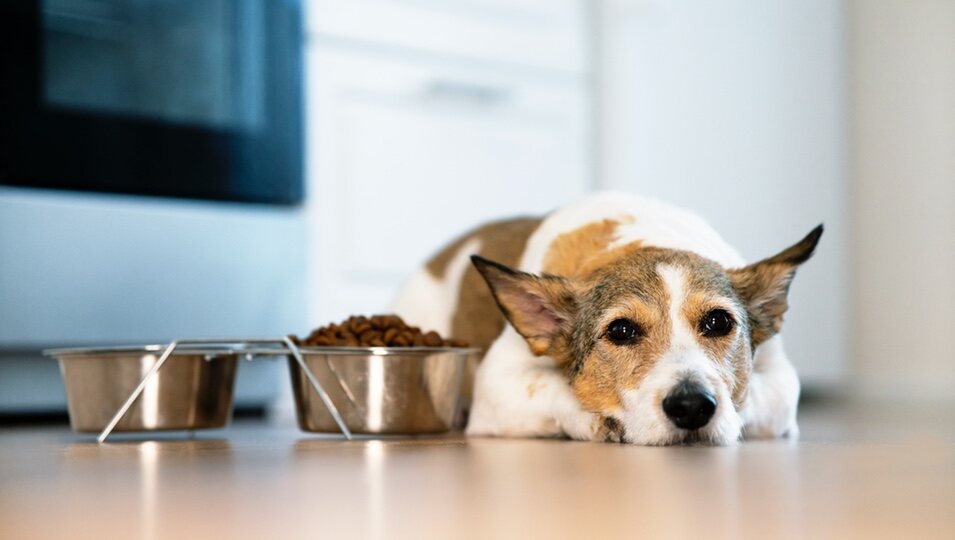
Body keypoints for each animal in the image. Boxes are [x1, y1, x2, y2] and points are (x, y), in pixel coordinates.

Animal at [394, 192, 820, 446]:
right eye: (621, 330)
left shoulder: (782, 380)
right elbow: (557, 390)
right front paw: (598, 422)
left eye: (719, 322)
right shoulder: (496, 385)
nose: (691, 405)